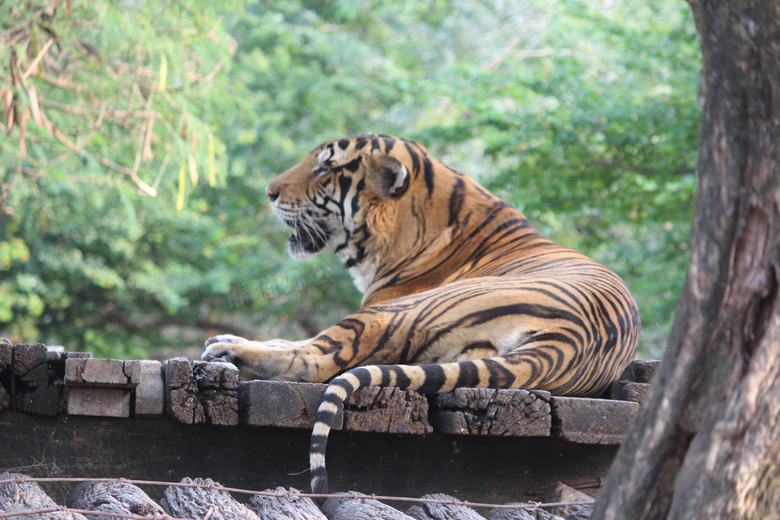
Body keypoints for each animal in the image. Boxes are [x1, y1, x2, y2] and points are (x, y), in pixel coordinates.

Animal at [201, 133, 640, 496]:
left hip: (395, 312)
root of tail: (570, 340)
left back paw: (228, 351)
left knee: (315, 361)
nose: (269, 192)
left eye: (324, 168)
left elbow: (305, 346)